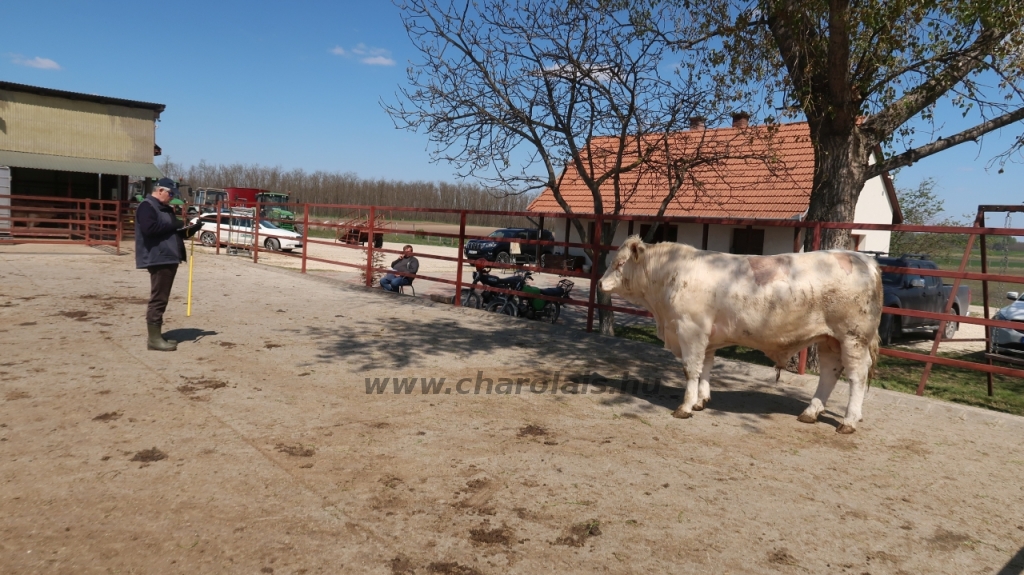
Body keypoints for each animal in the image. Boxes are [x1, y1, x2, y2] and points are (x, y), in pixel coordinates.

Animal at [598, 236, 880, 429]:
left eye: (619, 263)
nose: (600, 283)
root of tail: (864, 259)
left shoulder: (691, 329)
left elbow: (691, 369)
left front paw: (685, 406)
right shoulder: (708, 337)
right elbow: (706, 367)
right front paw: (701, 401)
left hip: (853, 337)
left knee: (856, 376)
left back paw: (848, 421)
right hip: (830, 339)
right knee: (829, 374)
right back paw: (811, 412)